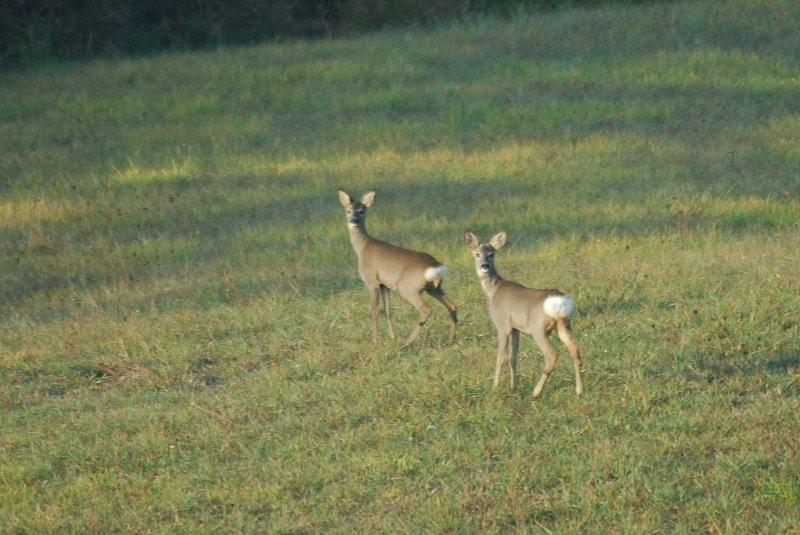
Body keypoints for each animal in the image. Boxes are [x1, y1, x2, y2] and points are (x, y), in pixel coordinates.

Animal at [336, 192, 456, 348]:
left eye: (361, 211)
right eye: (348, 211)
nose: (353, 221)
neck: (362, 248)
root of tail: (434, 265)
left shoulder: (371, 281)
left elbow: (374, 310)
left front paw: (375, 339)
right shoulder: (384, 285)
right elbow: (388, 311)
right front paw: (393, 337)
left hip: (408, 288)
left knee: (426, 309)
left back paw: (408, 342)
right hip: (433, 288)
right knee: (453, 305)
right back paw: (450, 340)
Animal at [462, 232, 580, 400]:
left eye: (491, 254)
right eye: (477, 254)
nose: (484, 266)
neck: (493, 291)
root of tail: (561, 302)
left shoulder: (502, 324)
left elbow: (500, 357)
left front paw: (495, 387)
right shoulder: (515, 328)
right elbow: (513, 358)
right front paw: (513, 386)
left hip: (538, 329)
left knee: (552, 356)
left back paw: (536, 392)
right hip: (564, 325)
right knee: (575, 350)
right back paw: (579, 390)